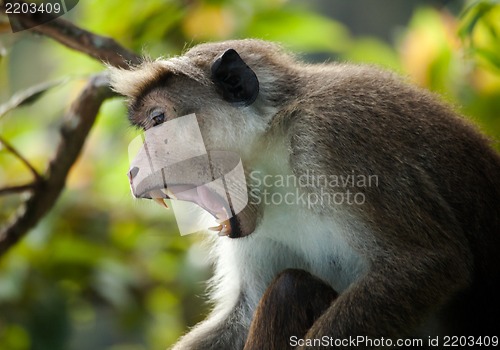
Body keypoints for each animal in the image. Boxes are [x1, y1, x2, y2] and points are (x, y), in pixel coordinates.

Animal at [109, 39, 500, 348]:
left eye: (158, 120)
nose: (133, 170)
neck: (274, 144)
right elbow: (245, 311)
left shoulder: (332, 137)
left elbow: (427, 263)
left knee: (290, 287)